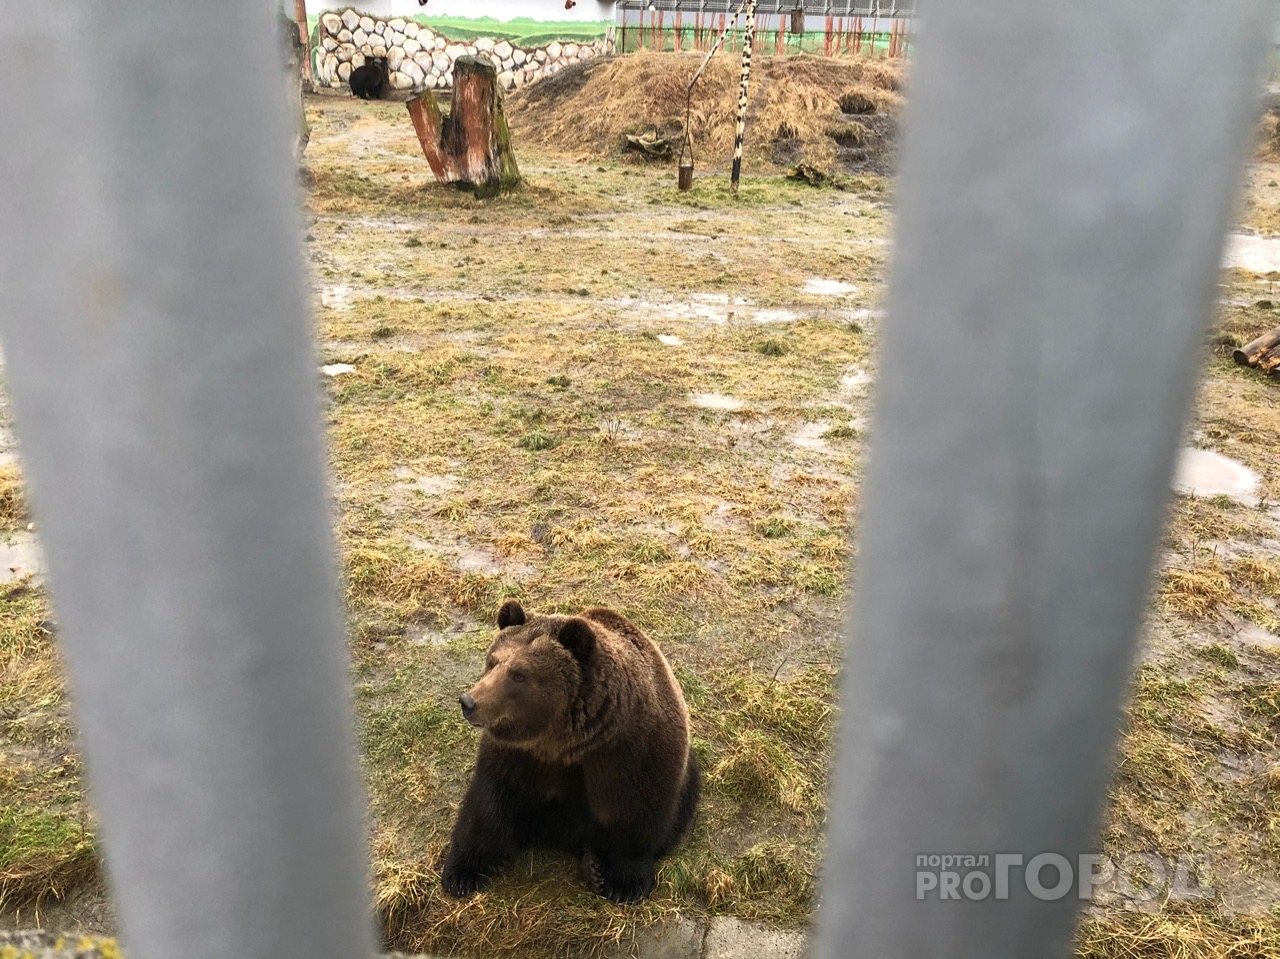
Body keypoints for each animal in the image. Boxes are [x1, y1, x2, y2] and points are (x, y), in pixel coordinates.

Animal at [440, 601, 701, 901]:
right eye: (493, 661)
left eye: (519, 674)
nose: (469, 701)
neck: (566, 741)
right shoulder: (518, 756)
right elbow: (489, 805)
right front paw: (462, 873)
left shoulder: (630, 752)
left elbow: (637, 811)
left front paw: (624, 883)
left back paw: (593, 866)